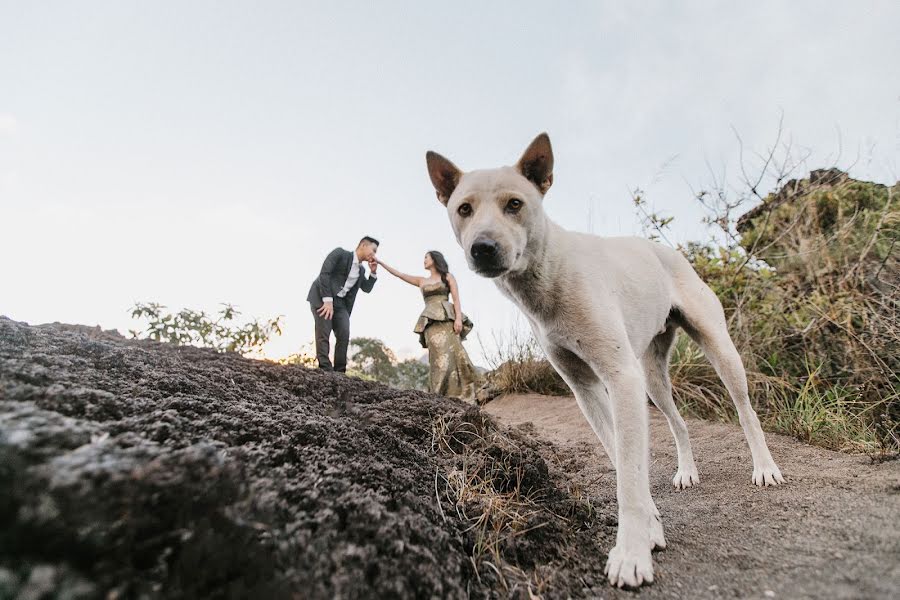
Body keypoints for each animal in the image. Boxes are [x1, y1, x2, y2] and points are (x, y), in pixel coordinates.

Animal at [426, 134, 784, 588]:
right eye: (464, 209)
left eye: (514, 204)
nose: (483, 248)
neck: (549, 275)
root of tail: (669, 251)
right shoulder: (587, 389)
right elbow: (622, 461)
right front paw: (649, 527)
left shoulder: (620, 378)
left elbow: (629, 477)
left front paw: (631, 552)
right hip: (652, 377)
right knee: (678, 422)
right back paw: (687, 470)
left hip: (718, 349)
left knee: (745, 411)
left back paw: (765, 467)